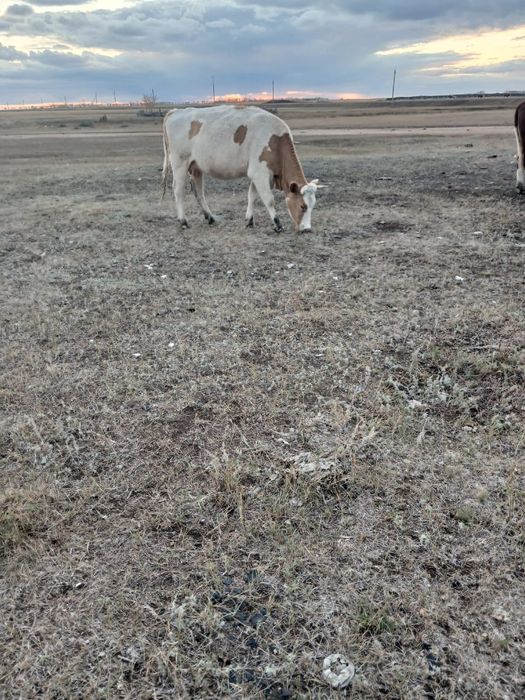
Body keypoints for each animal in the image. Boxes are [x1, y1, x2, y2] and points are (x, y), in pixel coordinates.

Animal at [161, 105, 321, 232]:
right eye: (302, 206)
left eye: (313, 205)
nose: (307, 229)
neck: (275, 141)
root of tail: (176, 111)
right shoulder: (260, 173)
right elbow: (269, 199)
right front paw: (277, 224)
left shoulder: (258, 174)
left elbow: (252, 196)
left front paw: (249, 220)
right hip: (179, 163)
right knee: (178, 190)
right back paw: (183, 221)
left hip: (195, 167)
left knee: (199, 192)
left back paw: (210, 217)